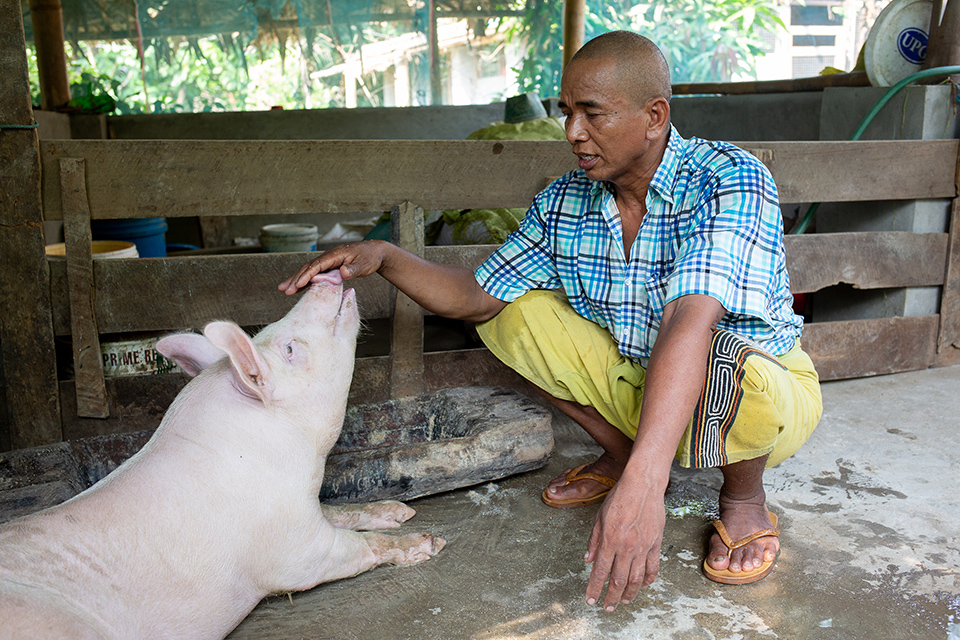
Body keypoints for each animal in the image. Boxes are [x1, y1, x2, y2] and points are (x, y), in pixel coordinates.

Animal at [0, 272, 444, 640]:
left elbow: (340, 510)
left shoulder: (303, 510)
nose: (325, 277)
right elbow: (356, 547)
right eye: (289, 348)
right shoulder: (293, 548)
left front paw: (400, 510)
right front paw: (429, 542)